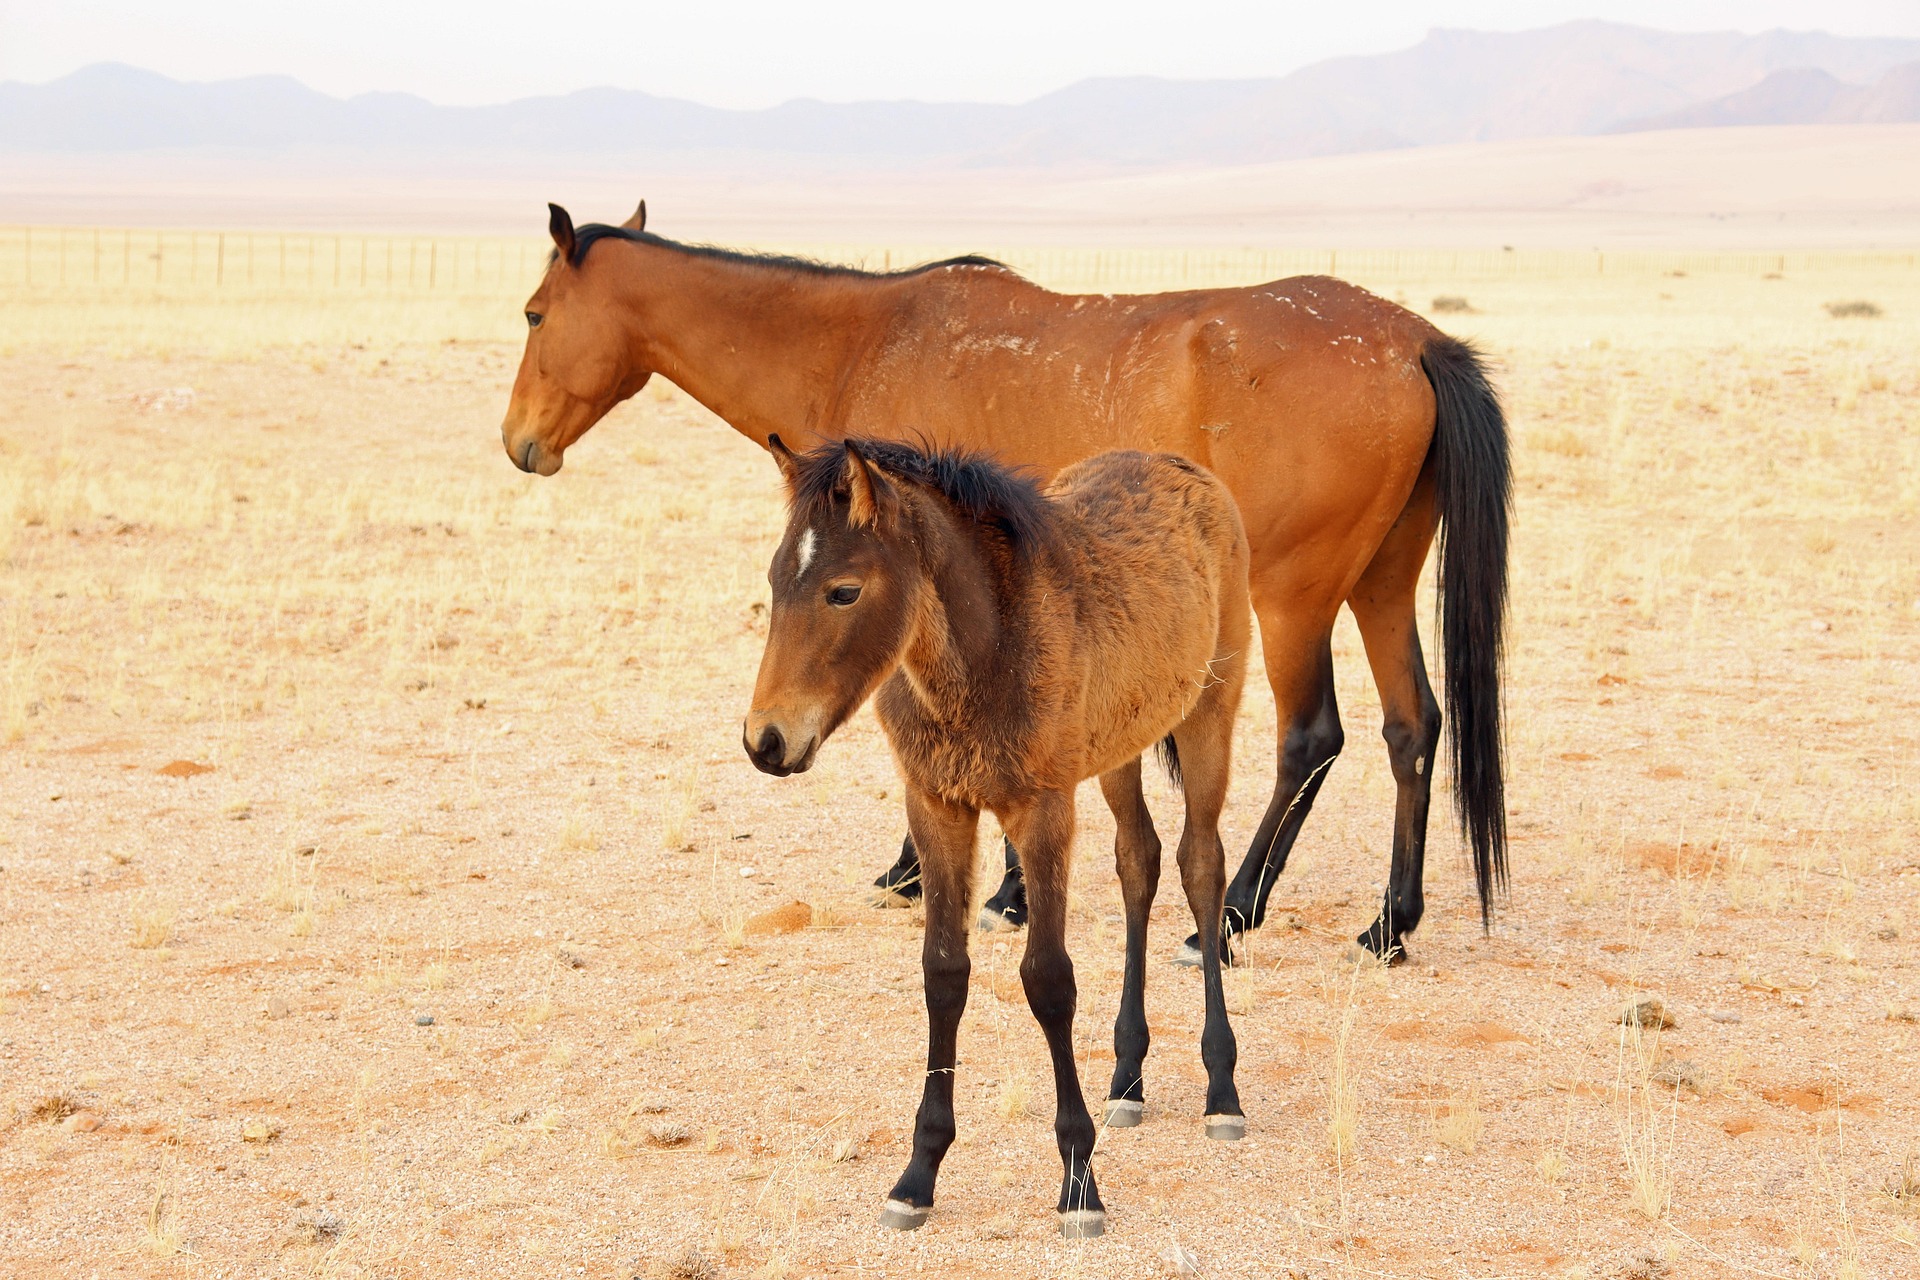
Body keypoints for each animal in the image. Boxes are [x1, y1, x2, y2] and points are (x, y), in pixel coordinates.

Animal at [502, 201, 1510, 964]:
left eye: (534, 315)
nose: (520, 443)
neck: (862, 342)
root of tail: (1413, 339)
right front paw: (982, 882)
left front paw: (953, 881)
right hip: (1379, 583)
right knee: (1412, 726)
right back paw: (1390, 924)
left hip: (1293, 599)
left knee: (1313, 737)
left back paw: (1230, 913)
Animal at [743, 435, 1250, 1237]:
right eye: (773, 581)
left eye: (843, 591)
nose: (765, 740)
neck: (982, 653)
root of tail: (1181, 465)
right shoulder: (938, 808)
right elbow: (943, 974)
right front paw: (918, 1175)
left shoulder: (1041, 811)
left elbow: (1048, 979)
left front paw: (1079, 1180)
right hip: (1119, 747)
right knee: (1138, 861)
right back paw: (1128, 1078)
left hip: (1209, 713)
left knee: (1201, 866)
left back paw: (1221, 1091)